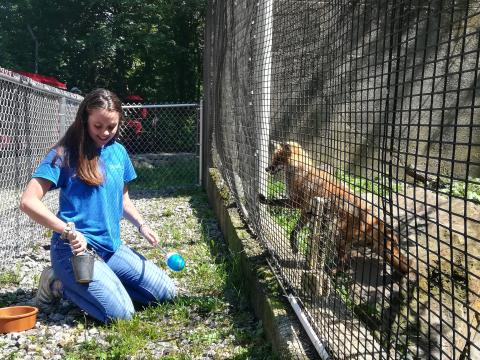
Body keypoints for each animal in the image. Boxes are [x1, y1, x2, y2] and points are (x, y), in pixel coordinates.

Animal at [260, 141, 410, 272]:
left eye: (277, 159)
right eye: (273, 158)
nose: (267, 169)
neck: (301, 171)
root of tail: (375, 219)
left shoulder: (297, 203)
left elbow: (275, 202)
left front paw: (264, 200)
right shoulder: (307, 211)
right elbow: (294, 231)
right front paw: (294, 246)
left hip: (337, 236)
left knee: (345, 265)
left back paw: (330, 272)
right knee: (347, 263)